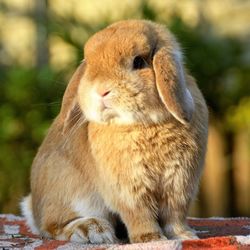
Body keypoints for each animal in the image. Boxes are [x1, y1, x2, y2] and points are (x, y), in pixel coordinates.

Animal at [21, 20, 209, 244]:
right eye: (89, 64)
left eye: (139, 62)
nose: (101, 90)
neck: (142, 125)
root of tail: (33, 207)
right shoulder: (129, 190)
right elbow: (140, 215)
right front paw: (151, 239)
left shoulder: (179, 185)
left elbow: (174, 216)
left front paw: (184, 235)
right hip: (68, 192)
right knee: (52, 225)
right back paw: (92, 230)